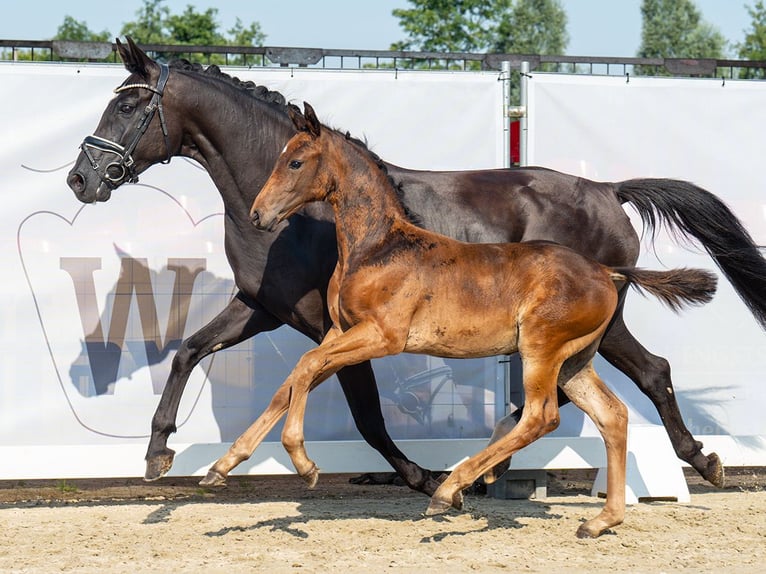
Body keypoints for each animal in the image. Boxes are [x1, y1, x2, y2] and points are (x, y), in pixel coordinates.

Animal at [67, 38, 766, 492]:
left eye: (126, 106)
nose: (82, 178)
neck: (304, 215)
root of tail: (609, 191)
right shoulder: (263, 308)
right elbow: (189, 351)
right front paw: (159, 453)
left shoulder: (329, 327)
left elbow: (366, 414)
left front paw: (418, 475)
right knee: (613, 382)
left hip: (595, 321)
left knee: (647, 373)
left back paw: (694, 462)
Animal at [225, 103, 716, 540]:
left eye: (295, 161)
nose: (258, 214)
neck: (377, 247)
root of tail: (606, 272)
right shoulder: (341, 332)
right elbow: (292, 380)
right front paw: (224, 465)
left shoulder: (382, 336)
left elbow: (306, 367)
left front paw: (303, 463)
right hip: (575, 361)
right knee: (612, 415)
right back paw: (600, 520)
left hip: (540, 349)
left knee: (542, 416)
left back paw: (451, 489)